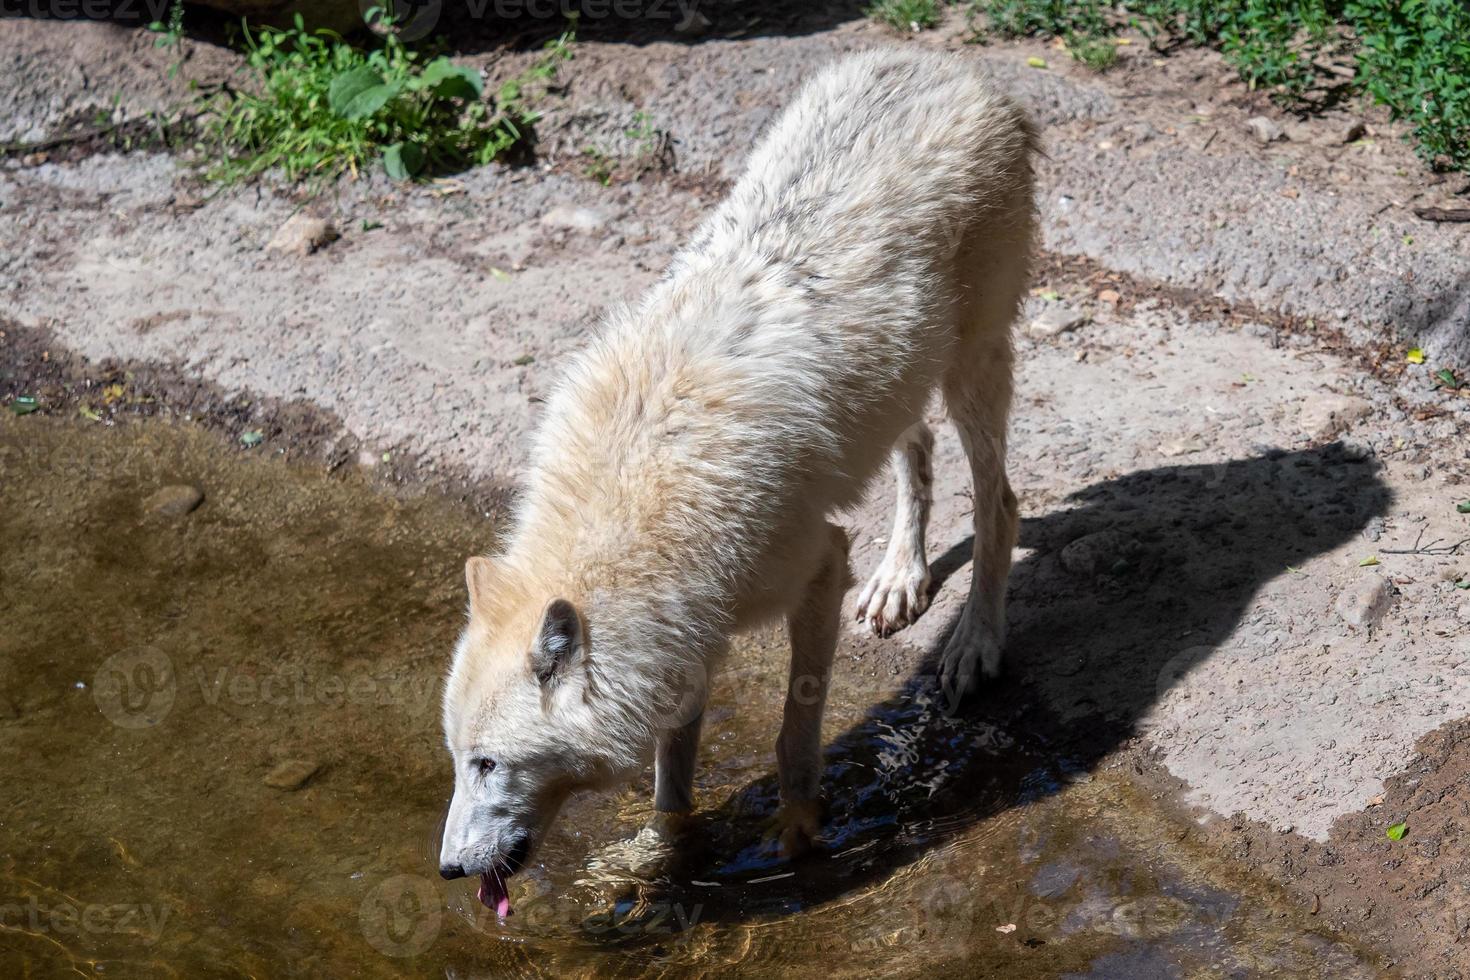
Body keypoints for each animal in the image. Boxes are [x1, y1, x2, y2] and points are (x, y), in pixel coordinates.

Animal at [435, 47, 1034, 922]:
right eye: (456, 758)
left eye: (486, 762)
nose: (446, 869)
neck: (637, 493)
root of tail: (945, 64)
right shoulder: (689, 634)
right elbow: (672, 768)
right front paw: (663, 855)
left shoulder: (818, 566)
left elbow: (794, 726)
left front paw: (797, 832)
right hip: (906, 384)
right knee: (916, 455)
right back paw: (900, 581)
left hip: (972, 368)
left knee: (1001, 503)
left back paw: (977, 639)